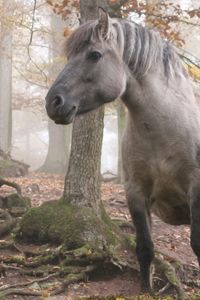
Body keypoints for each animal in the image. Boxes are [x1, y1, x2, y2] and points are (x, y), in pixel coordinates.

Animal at [45, 9, 200, 296]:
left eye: (94, 55)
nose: (53, 103)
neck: (165, 129)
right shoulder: (136, 193)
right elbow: (145, 248)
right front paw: (146, 291)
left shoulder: (196, 191)